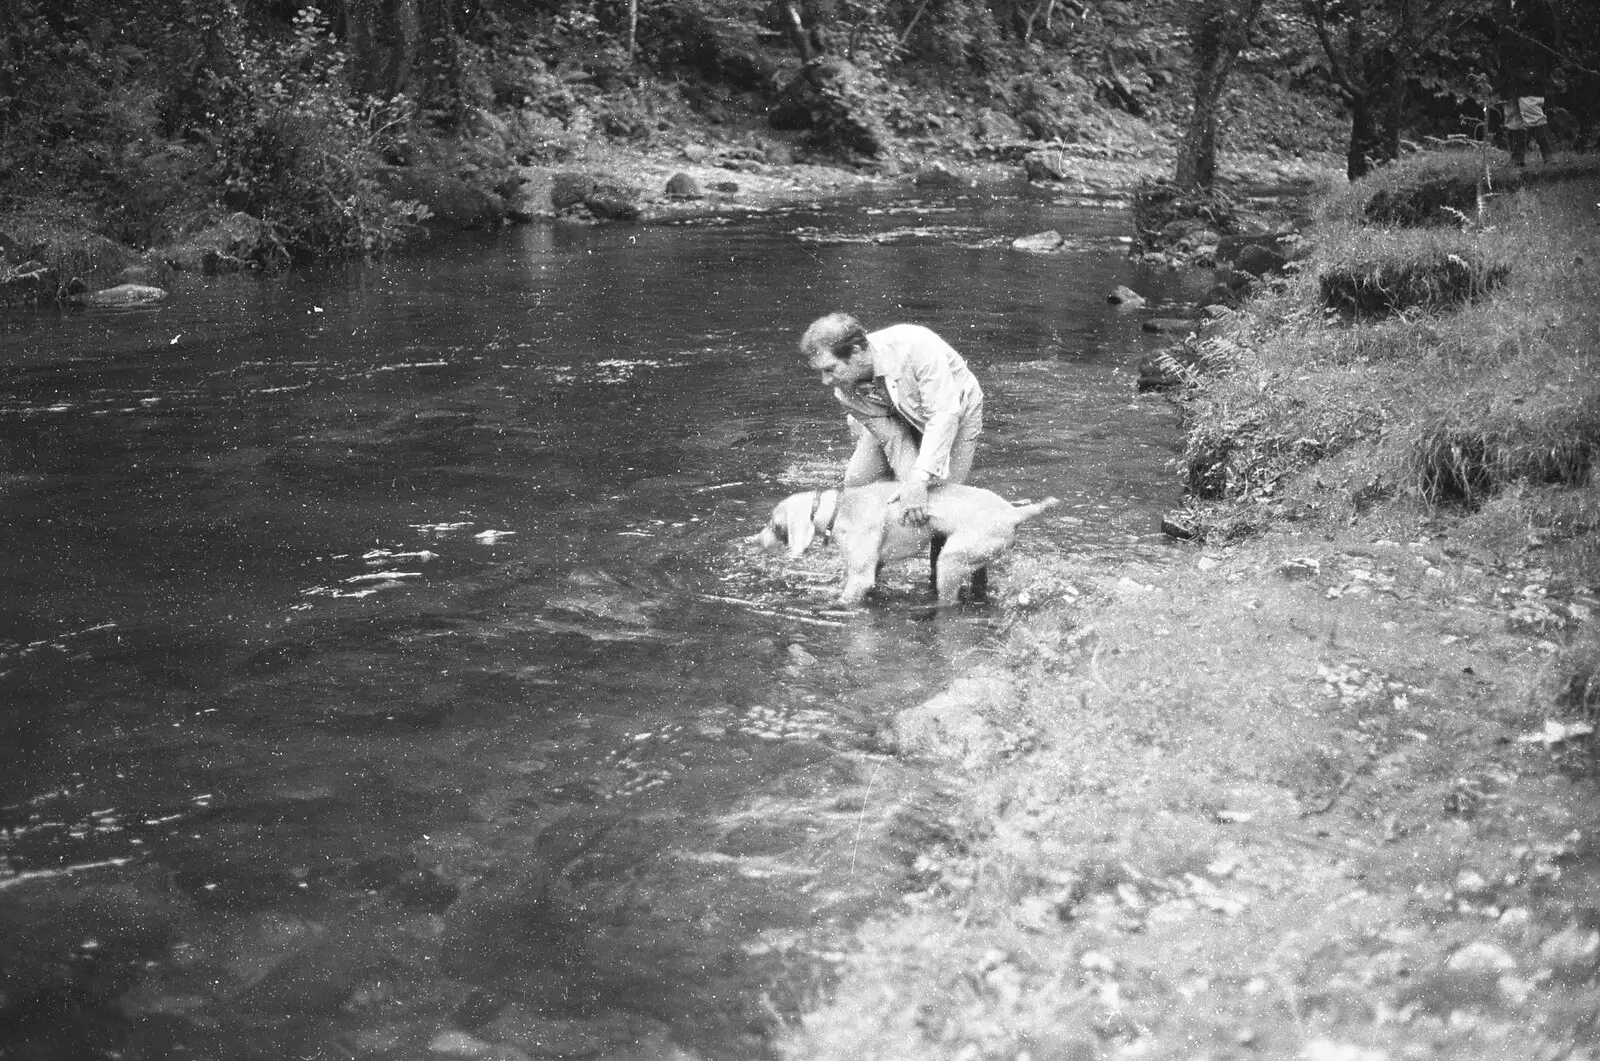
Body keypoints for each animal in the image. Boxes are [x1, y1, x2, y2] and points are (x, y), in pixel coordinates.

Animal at [752, 480, 1056, 604]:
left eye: (773, 524)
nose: (755, 540)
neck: (840, 508)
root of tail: (1013, 512)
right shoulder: (875, 566)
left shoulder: (860, 576)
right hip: (976, 559)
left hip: (951, 561)